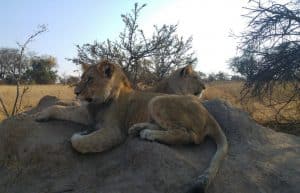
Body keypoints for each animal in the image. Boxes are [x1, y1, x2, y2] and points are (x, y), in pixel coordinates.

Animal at [35, 59, 227, 192]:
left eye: (90, 79)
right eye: (82, 78)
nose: (76, 92)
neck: (99, 102)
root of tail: (209, 114)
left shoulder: (114, 131)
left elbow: (79, 143)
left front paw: (80, 134)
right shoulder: (87, 114)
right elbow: (60, 108)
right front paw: (41, 114)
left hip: (158, 101)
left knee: (188, 135)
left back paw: (148, 134)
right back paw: (138, 129)